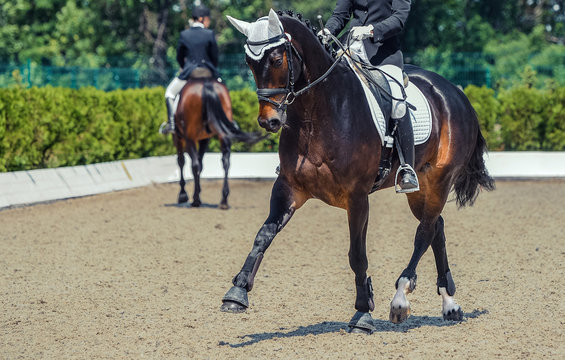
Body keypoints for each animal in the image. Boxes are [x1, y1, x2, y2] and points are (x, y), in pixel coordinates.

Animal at [173, 76, 258, 210]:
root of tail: (206, 82)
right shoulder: (204, 139)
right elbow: (201, 163)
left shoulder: (179, 137)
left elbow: (182, 162)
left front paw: (183, 195)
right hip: (223, 134)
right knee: (225, 162)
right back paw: (224, 200)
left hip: (188, 137)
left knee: (194, 164)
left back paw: (196, 200)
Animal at [220, 9, 494, 334]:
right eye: (249, 62)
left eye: (276, 60)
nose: (269, 121)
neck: (319, 112)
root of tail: (456, 93)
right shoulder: (289, 187)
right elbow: (264, 234)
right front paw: (236, 293)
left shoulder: (357, 197)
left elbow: (357, 255)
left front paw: (363, 312)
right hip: (421, 186)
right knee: (435, 228)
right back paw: (449, 303)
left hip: (441, 179)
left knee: (424, 232)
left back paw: (400, 298)